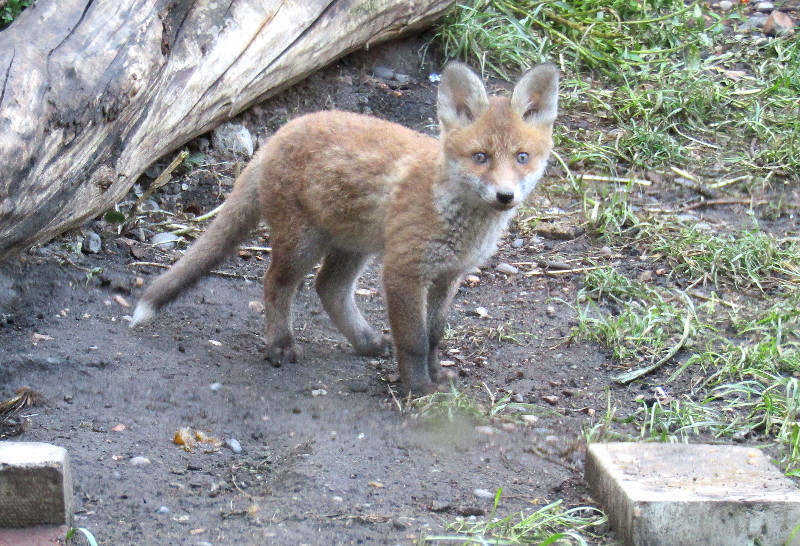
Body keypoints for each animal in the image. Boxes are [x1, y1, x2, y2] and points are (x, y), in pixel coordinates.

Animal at [130, 61, 556, 394]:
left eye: (522, 157)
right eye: (480, 157)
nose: (505, 196)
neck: (457, 218)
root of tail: (279, 133)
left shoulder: (449, 276)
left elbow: (435, 335)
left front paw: (437, 376)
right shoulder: (404, 271)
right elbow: (414, 341)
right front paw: (419, 388)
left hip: (354, 246)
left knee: (328, 288)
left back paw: (365, 342)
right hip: (303, 244)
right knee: (276, 283)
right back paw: (280, 344)